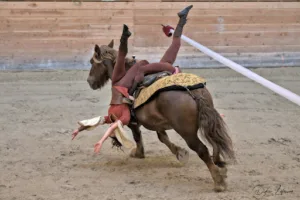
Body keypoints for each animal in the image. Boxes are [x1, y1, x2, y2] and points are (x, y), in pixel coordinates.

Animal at [86, 40, 234, 192]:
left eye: (92, 62)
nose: (90, 81)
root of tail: (192, 92)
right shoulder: (156, 122)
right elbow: (162, 137)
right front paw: (180, 152)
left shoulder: (133, 122)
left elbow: (138, 136)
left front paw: (138, 153)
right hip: (206, 123)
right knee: (214, 141)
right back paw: (220, 166)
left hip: (187, 133)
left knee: (202, 150)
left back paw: (218, 182)